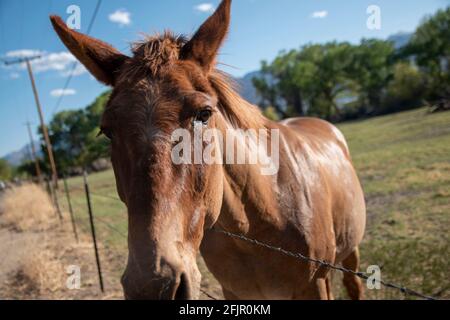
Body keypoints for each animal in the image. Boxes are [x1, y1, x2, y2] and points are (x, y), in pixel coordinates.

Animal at [50, 0, 366, 300]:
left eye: (204, 113)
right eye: (107, 130)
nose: (152, 288)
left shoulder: (316, 284)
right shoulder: (234, 291)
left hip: (350, 251)